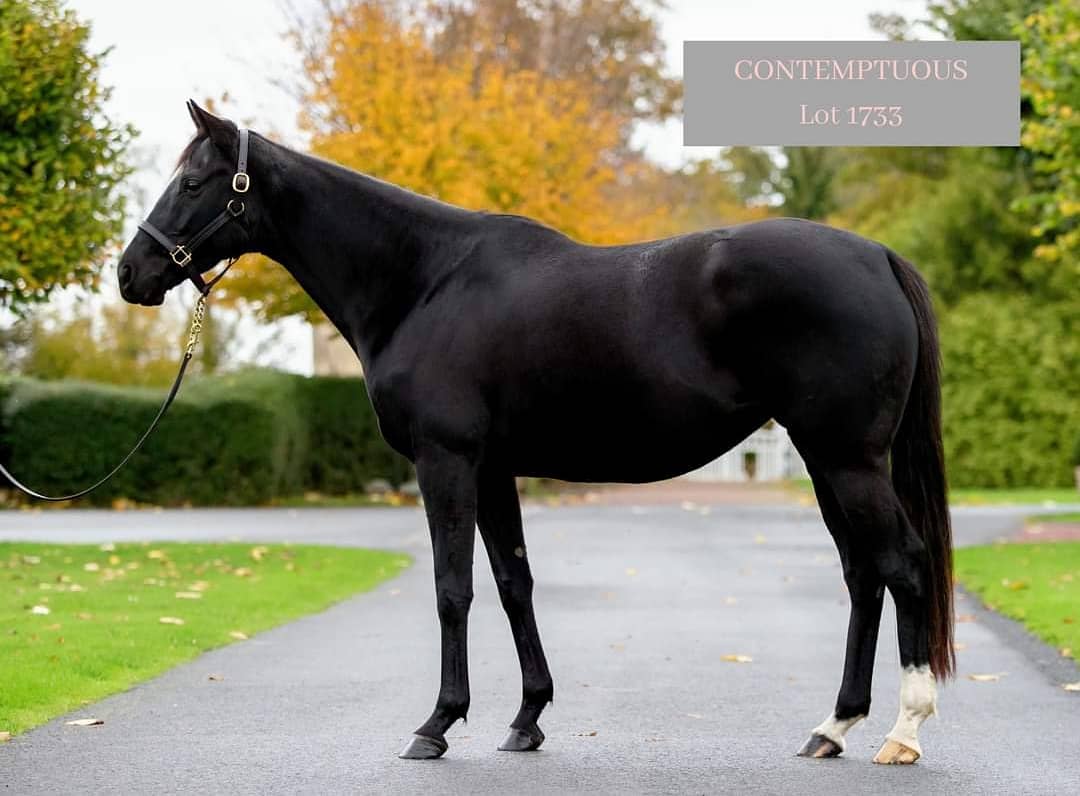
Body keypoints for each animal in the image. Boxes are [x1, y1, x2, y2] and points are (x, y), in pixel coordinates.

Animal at [118, 101, 953, 765]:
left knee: (904, 565)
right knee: (864, 575)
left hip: (847, 459)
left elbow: (452, 589)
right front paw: (526, 719)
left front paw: (437, 724)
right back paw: (833, 728)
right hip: (824, 460)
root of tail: (876, 255)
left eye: (193, 183)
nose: (131, 274)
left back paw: (902, 732)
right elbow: (513, 583)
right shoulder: (492, 470)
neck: (425, 280)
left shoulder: (447, 463)